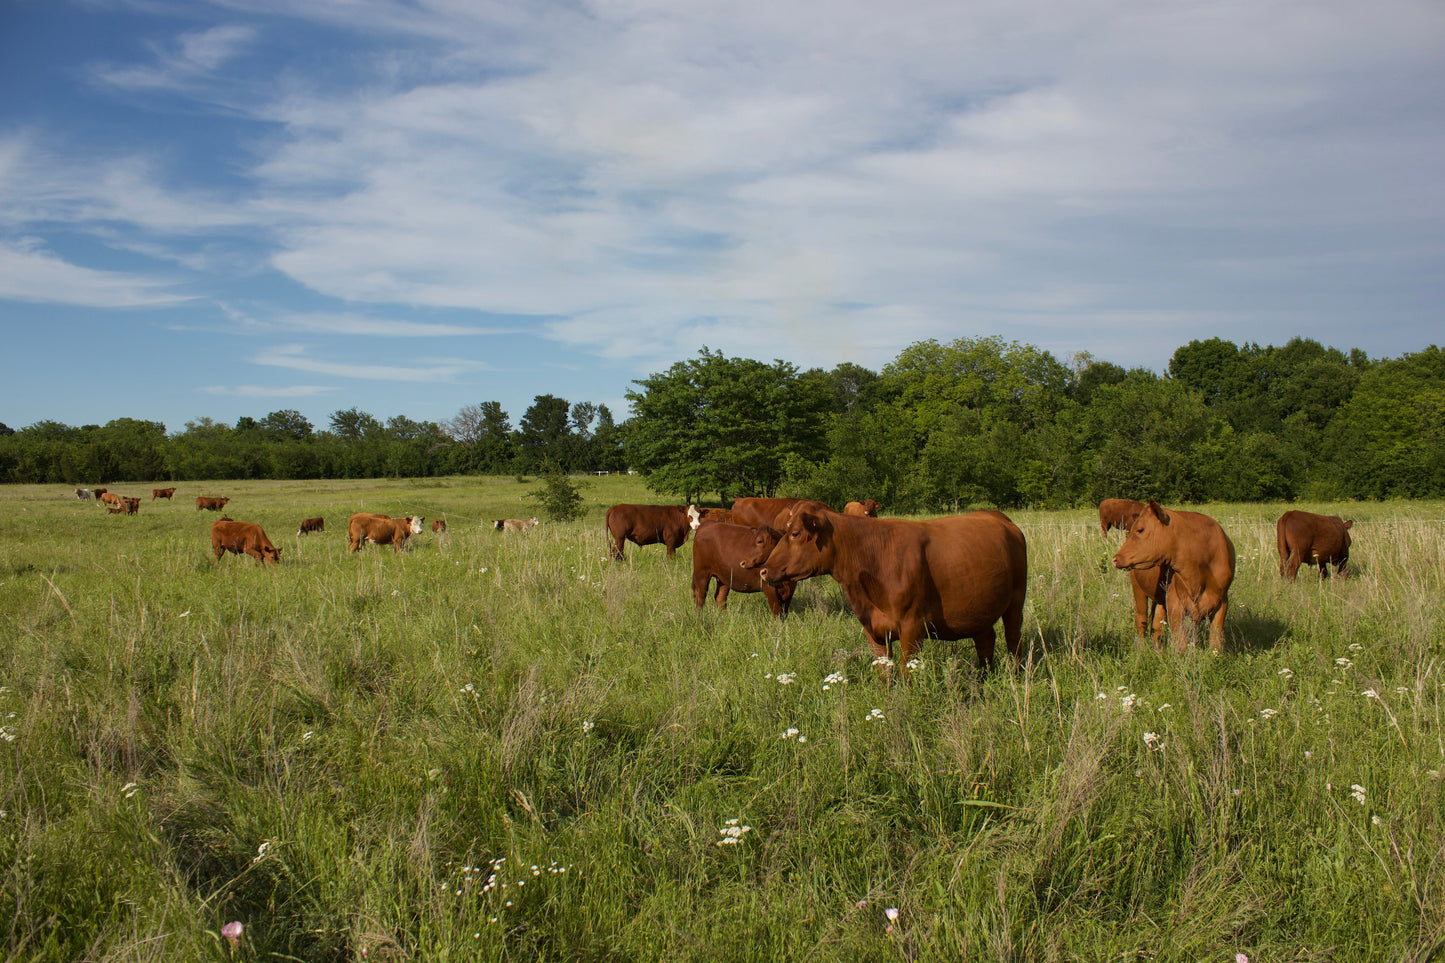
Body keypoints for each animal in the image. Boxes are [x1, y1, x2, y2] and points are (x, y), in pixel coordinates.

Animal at [748, 501, 1029, 677]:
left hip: (1016, 602)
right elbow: (885, 676)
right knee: (986, 640)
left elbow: (905, 676)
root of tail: (997, 516)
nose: (764, 570)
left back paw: (1014, 676)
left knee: (1013, 640)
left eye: (795, 533)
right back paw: (982, 680)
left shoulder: (913, 628)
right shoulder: (873, 631)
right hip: (978, 606)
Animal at [1112, 501, 1236, 653]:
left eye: (1140, 530)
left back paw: (1158, 651)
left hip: (1159, 598)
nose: (1115, 559)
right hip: (1138, 588)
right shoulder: (1174, 601)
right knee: (1141, 621)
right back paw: (1140, 650)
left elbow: (1216, 640)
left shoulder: (1222, 600)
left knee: (1157, 624)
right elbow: (1180, 641)